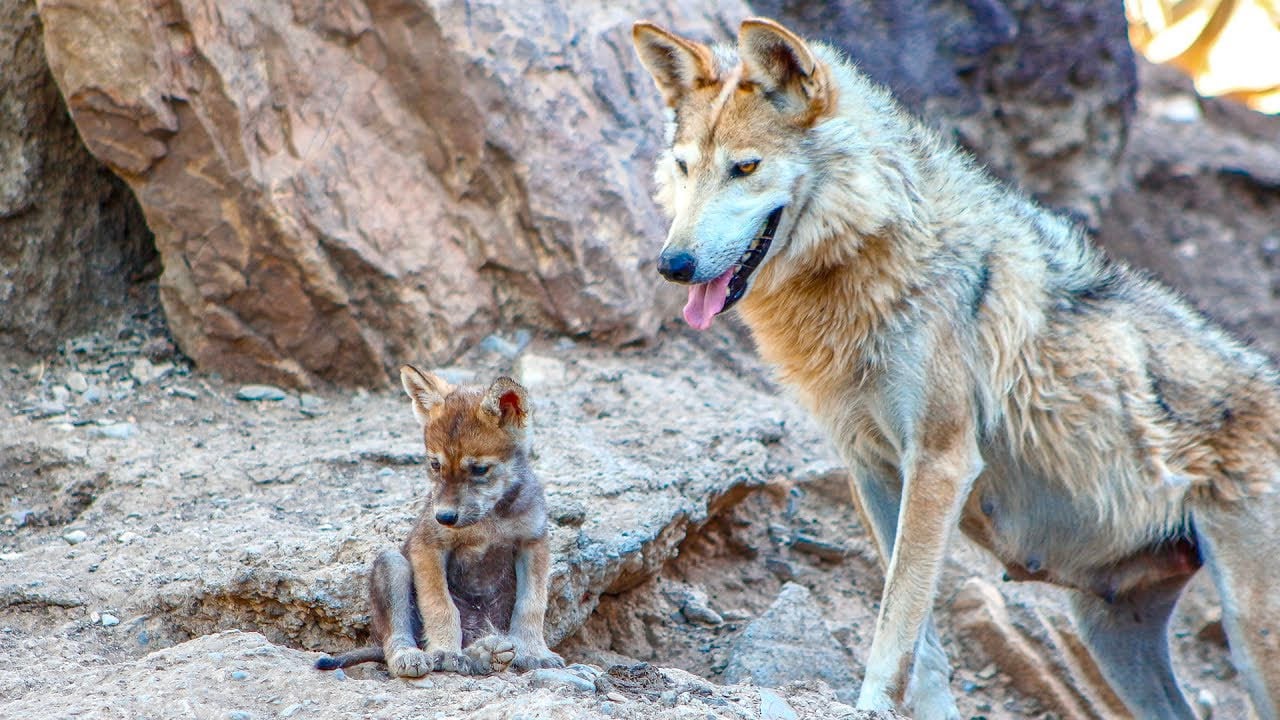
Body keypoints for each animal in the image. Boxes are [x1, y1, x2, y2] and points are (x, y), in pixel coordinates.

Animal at [315, 367, 564, 676]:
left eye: (479, 469)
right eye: (435, 465)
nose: (444, 517)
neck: (488, 520)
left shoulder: (533, 543)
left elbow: (531, 604)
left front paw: (534, 652)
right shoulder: (429, 547)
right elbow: (440, 605)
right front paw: (445, 651)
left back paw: (486, 653)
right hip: (392, 565)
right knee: (395, 638)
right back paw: (413, 656)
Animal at [633, 17, 1279, 720]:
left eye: (744, 167)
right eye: (684, 166)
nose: (673, 265)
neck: (877, 258)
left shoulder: (941, 463)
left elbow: (897, 620)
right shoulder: (873, 470)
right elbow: (921, 643)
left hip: (1249, 637)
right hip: (1109, 639)